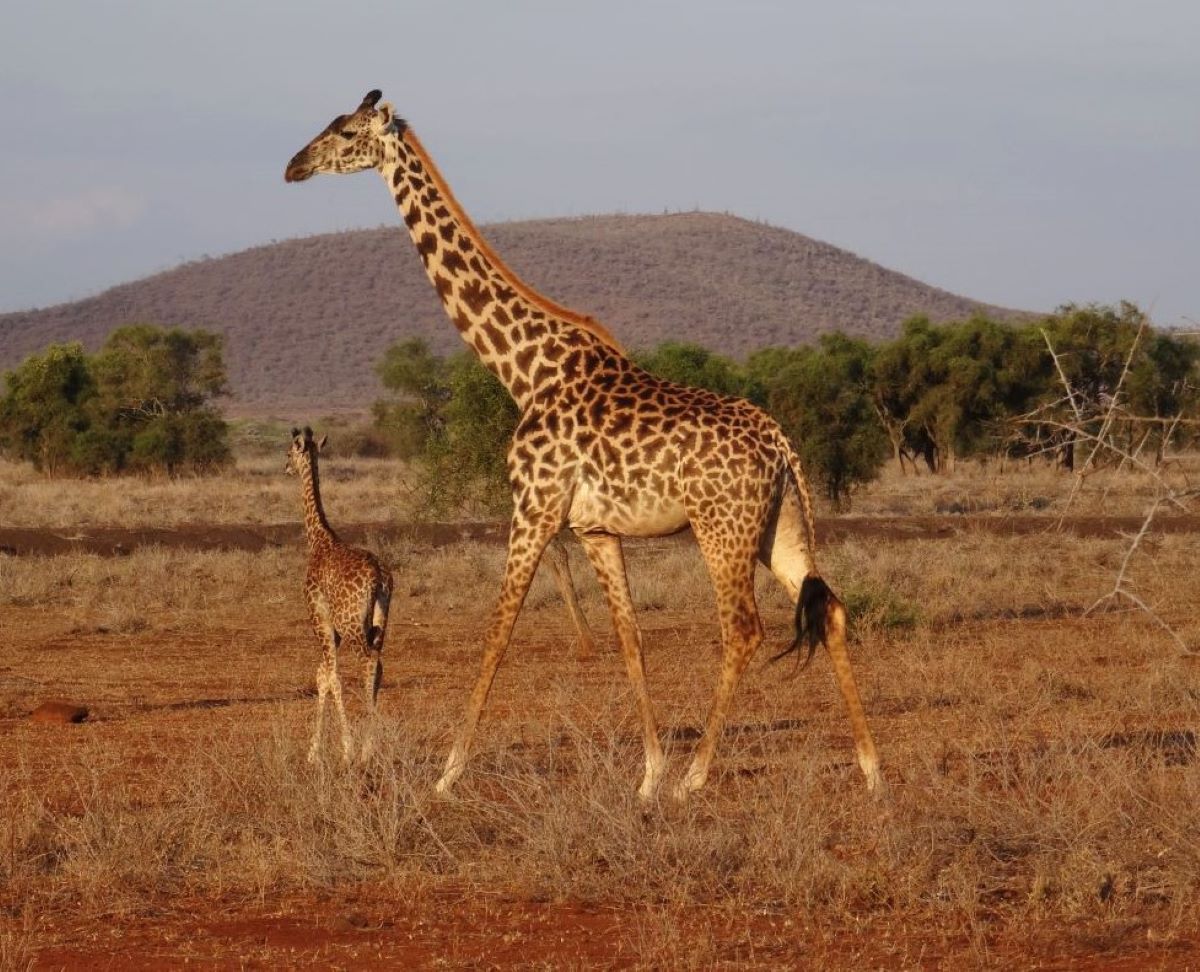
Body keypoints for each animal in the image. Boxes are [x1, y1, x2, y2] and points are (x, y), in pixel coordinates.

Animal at [285, 427, 393, 763]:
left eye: (288, 452)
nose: (286, 468)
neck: (319, 540)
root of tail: (379, 578)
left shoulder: (320, 620)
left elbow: (332, 677)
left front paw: (344, 748)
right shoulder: (334, 630)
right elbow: (322, 675)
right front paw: (313, 751)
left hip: (352, 624)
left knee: (368, 663)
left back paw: (364, 749)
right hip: (379, 622)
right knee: (378, 665)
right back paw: (369, 744)